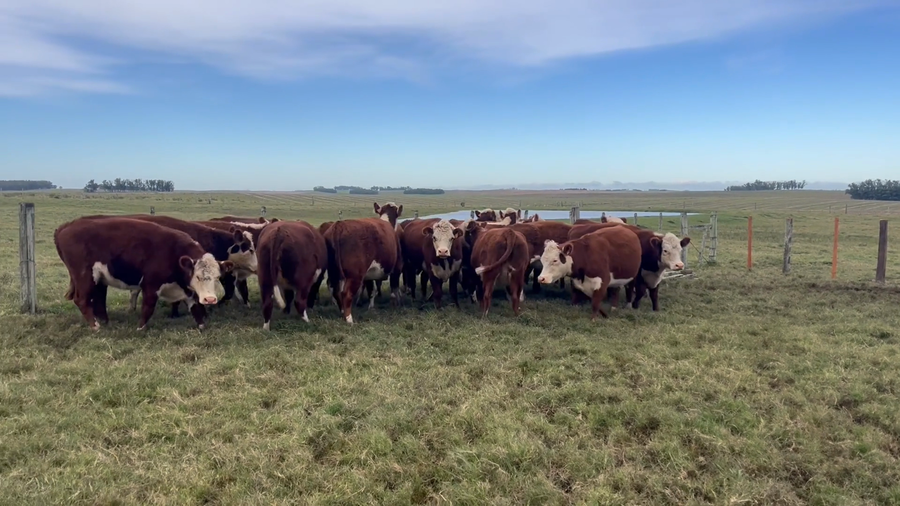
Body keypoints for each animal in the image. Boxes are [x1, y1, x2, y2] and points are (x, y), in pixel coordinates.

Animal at [54, 217, 233, 331]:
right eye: (197, 276)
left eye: (217, 277)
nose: (210, 299)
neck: (174, 254)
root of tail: (66, 227)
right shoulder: (150, 286)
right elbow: (148, 307)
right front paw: (140, 328)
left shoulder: (187, 290)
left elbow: (196, 308)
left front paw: (202, 326)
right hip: (84, 276)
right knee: (82, 300)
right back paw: (95, 326)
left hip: (97, 278)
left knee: (98, 299)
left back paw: (105, 322)